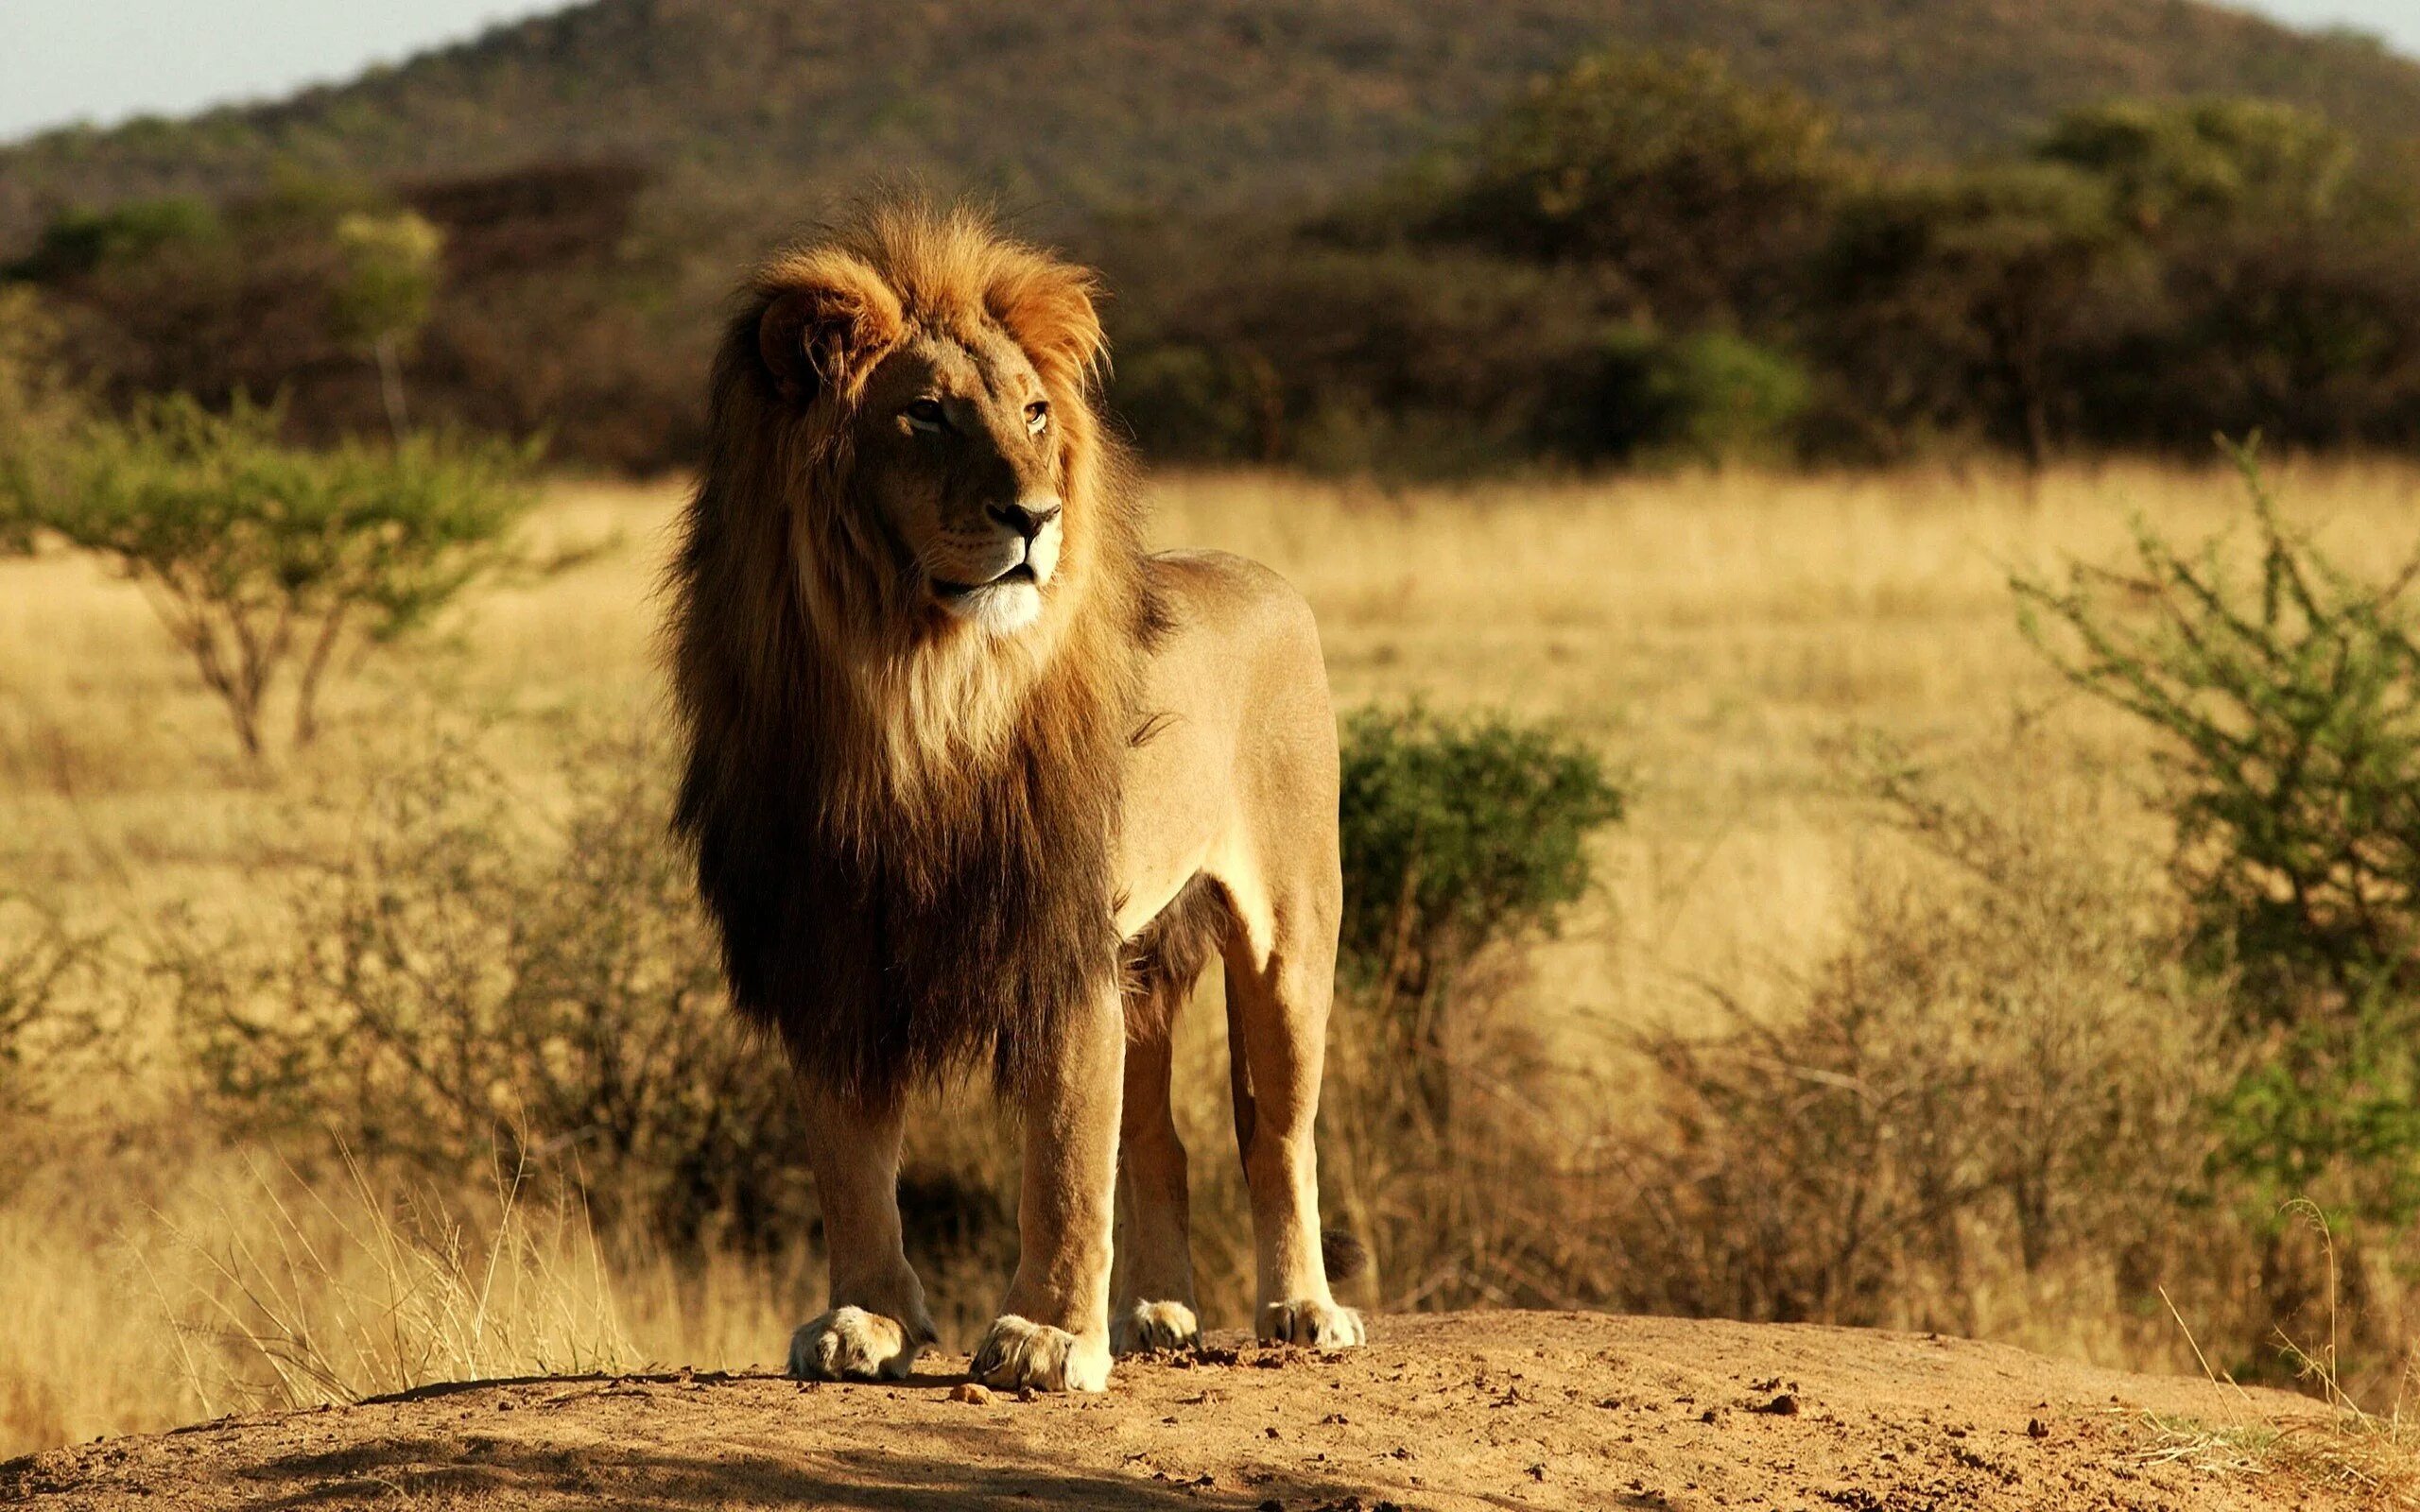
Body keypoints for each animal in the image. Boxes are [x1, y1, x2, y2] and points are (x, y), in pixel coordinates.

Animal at [672, 200, 1374, 1393]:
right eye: (924, 416)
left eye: (1035, 412)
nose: (1036, 516)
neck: (913, 690)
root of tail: (1263, 575)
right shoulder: (831, 942)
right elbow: (850, 1158)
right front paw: (865, 1319)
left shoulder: (1059, 939)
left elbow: (1062, 1157)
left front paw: (1046, 1336)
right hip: (1146, 963)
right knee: (1160, 1140)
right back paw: (1153, 1313)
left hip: (1288, 934)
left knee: (1276, 1131)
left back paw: (1303, 1307)